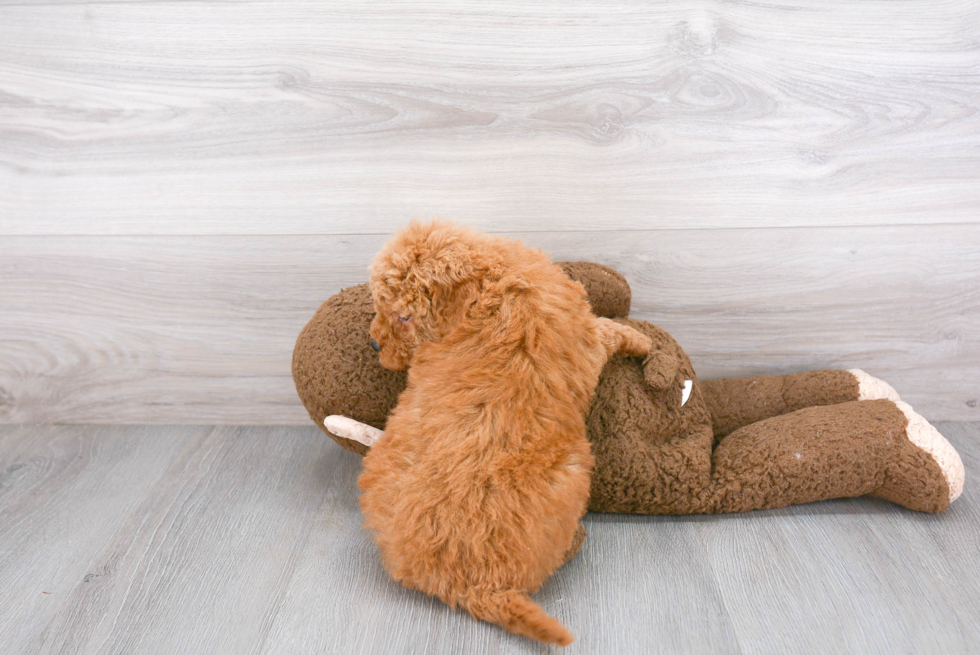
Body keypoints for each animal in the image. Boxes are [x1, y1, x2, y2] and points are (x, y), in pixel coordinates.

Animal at [358, 220, 652, 644]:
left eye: (404, 317)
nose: (373, 342)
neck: (489, 286)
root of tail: (474, 587)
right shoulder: (586, 343)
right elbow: (608, 329)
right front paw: (642, 341)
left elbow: (607, 329)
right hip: (572, 474)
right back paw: (575, 542)